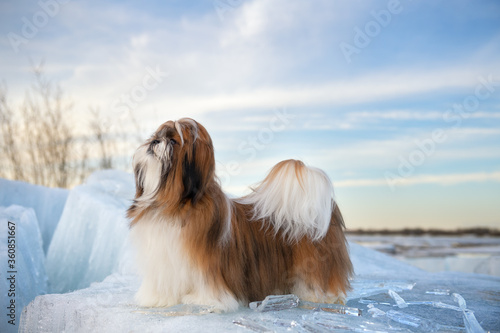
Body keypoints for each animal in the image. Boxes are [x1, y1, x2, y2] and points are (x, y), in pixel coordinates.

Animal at [127, 118, 354, 310]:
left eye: (173, 141)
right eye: (156, 135)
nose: (155, 141)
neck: (174, 204)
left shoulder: (207, 265)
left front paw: (204, 300)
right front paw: (157, 299)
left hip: (317, 263)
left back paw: (321, 296)